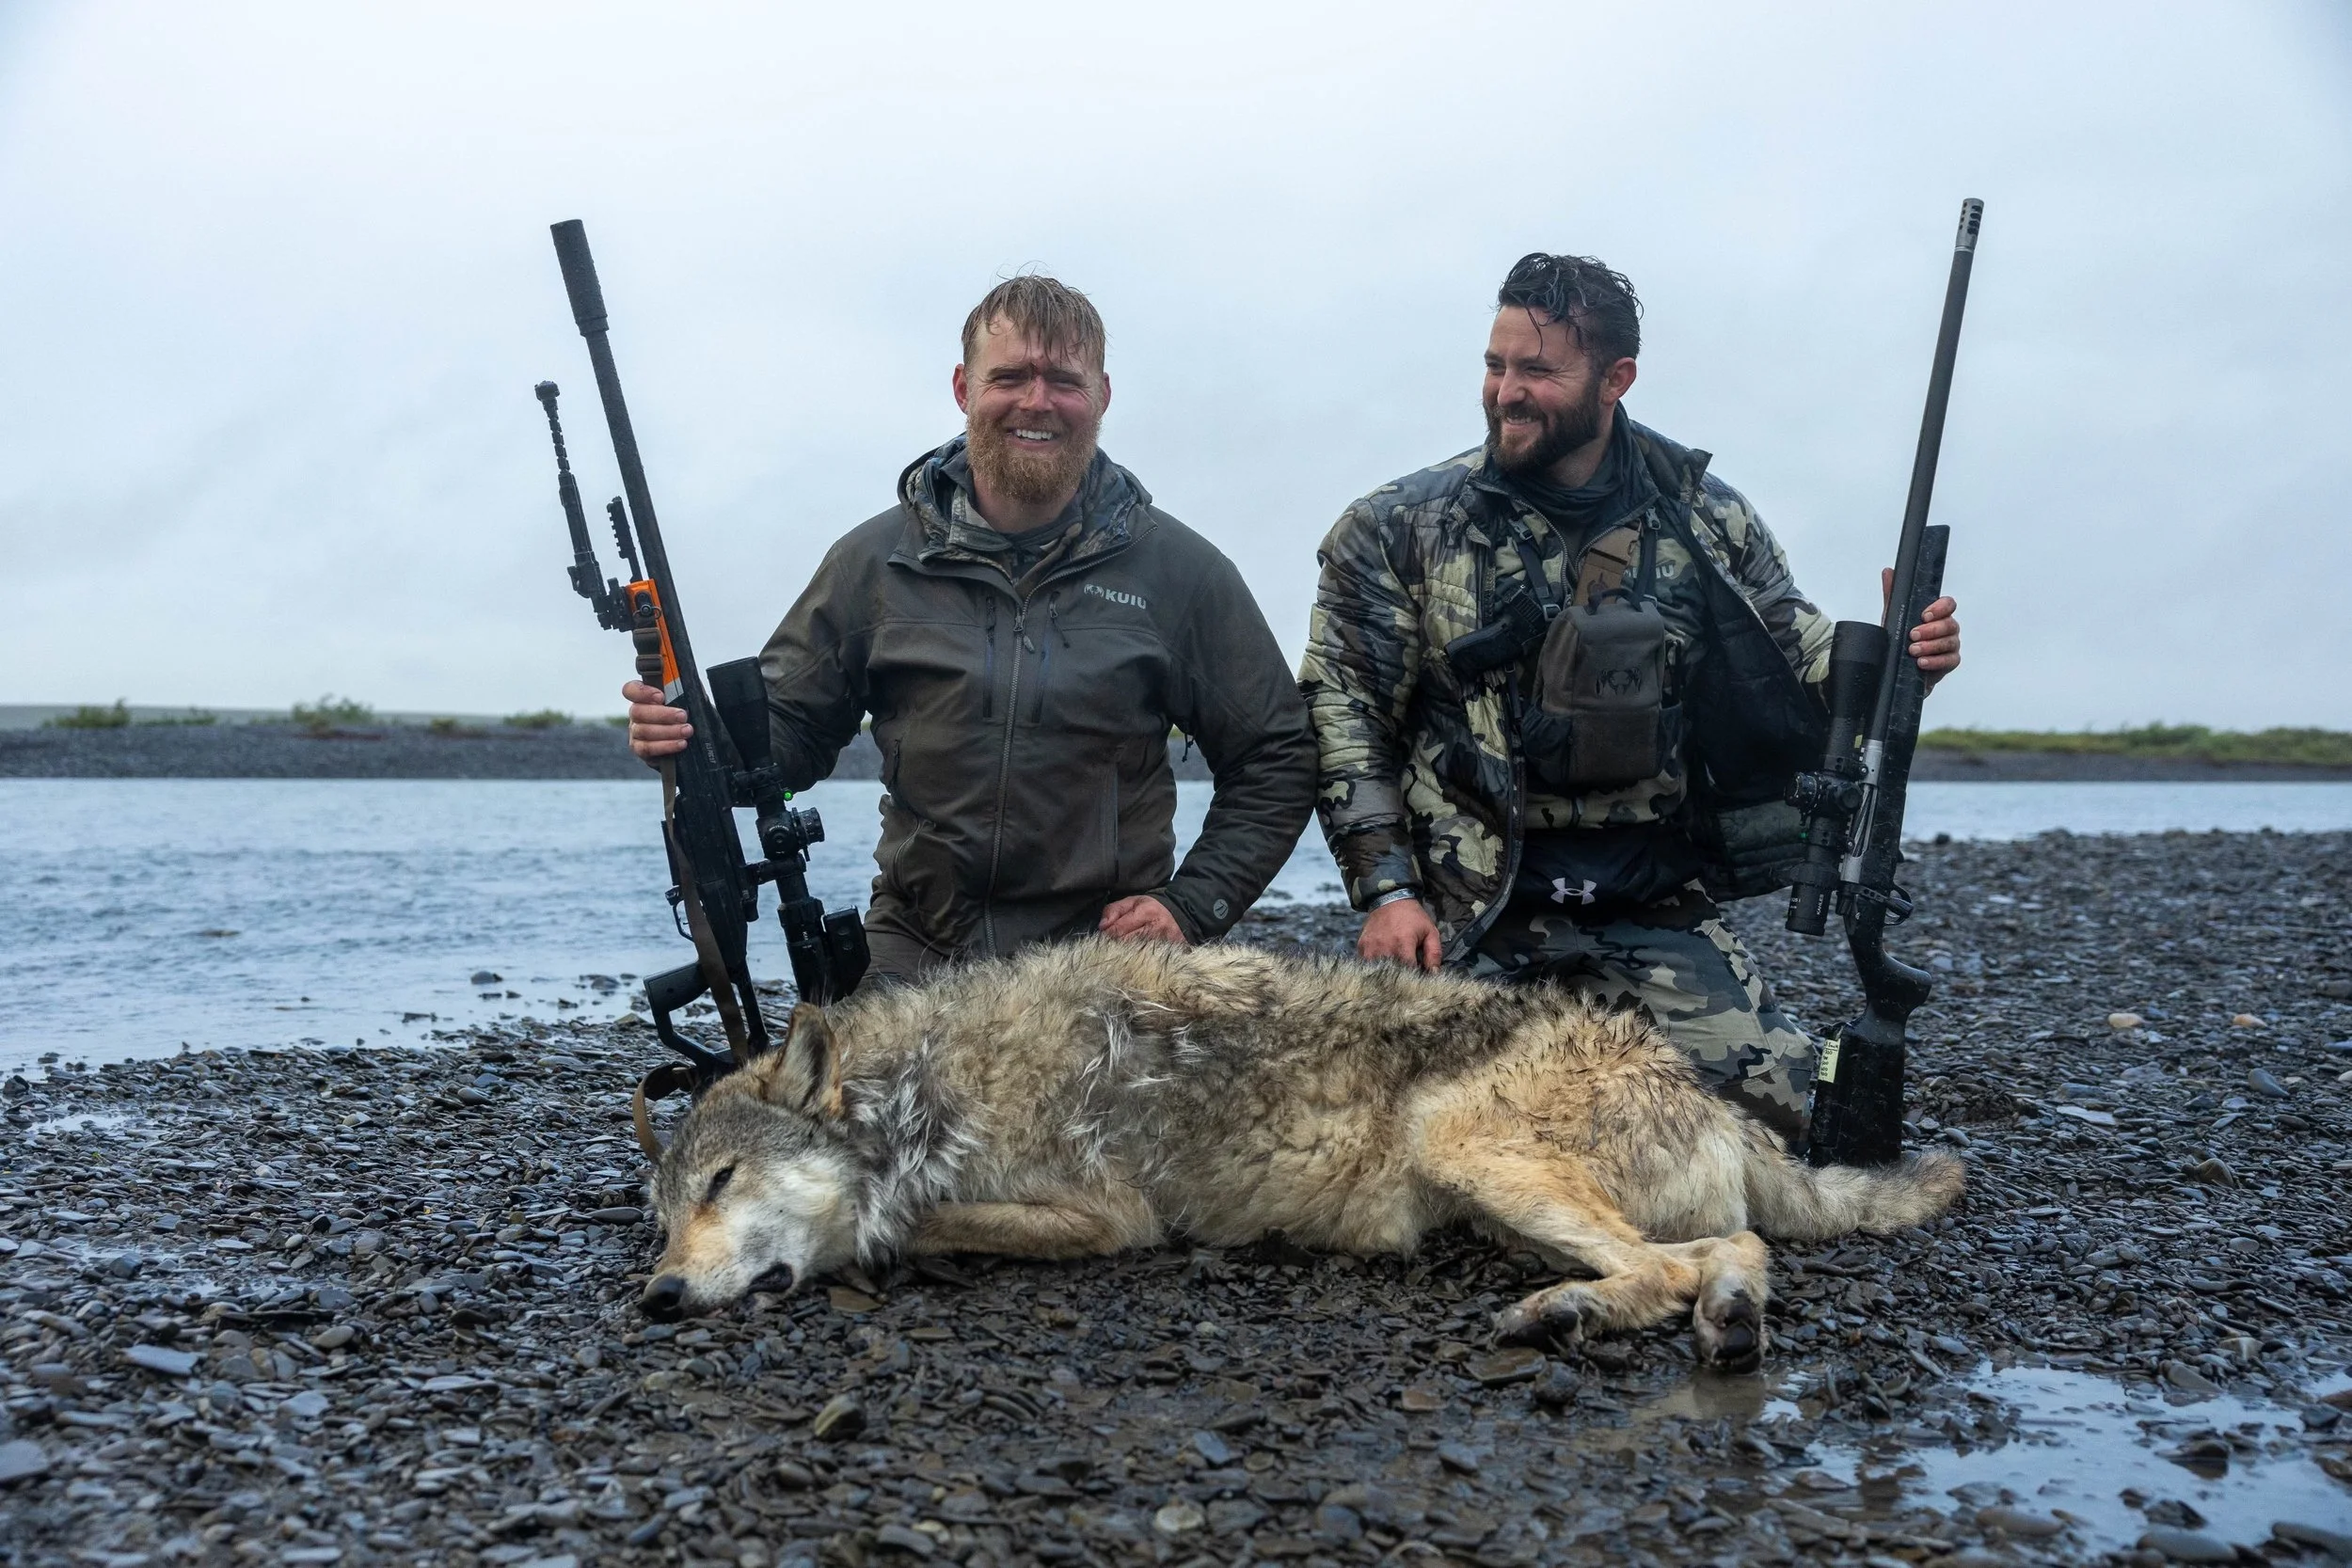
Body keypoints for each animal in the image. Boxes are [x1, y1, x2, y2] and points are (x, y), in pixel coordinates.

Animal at [638, 938, 1963, 1368]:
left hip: (1463, 1140)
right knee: (1726, 1248)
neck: (917, 1092)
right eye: (659, 1212)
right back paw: (1707, 1317)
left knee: (1685, 1255)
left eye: (721, 1182)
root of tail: (1711, 1095)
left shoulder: (1107, 1216)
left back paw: (1570, 1316)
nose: (652, 1294)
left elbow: (908, 1224)